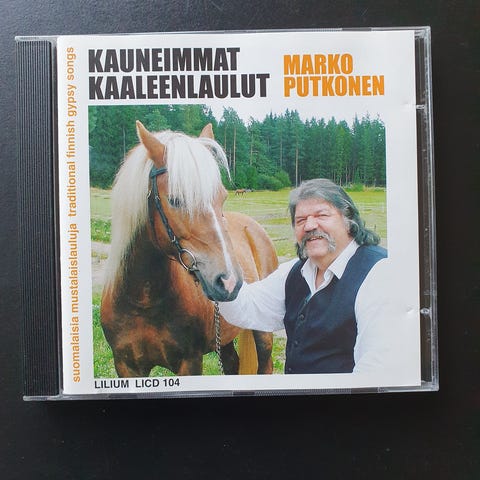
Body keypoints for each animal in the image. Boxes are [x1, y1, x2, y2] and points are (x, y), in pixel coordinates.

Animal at [100, 121, 278, 377]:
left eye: (222, 198)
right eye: (175, 200)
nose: (229, 282)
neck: (143, 301)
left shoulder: (190, 362)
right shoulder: (126, 366)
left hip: (262, 333)